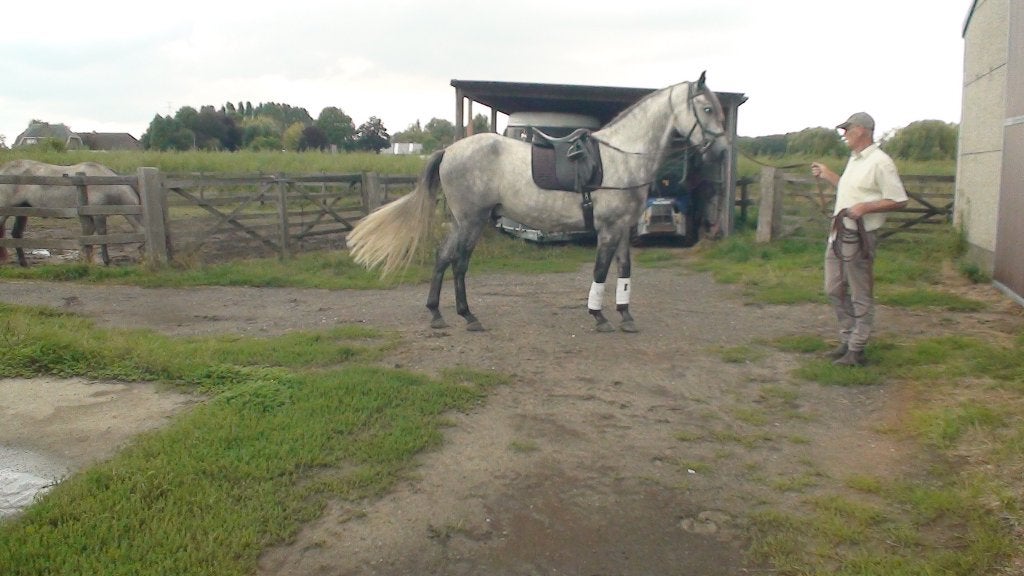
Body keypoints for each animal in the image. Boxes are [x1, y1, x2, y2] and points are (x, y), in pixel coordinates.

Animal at [0, 159, 143, 267]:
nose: (143, 262)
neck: (106, 184)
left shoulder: (89, 216)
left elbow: (88, 235)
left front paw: (85, 259)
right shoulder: (98, 215)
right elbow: (102, 235)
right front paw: (105, 261)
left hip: (22, 210)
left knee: (16, 234)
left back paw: (23, 263)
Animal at [346, 72, 731, 333]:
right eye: (707, 108)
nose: (724, 152)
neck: (621, 157)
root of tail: (449, 151)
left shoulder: (622, 228)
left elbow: (624, 270)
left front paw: (625, 315)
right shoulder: (608, 229)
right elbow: (600, 270)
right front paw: (599, 316)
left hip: (462, 221)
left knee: (443, 258)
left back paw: (438, 313)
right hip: (472, 220)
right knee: (459, 262)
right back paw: (467, 316)